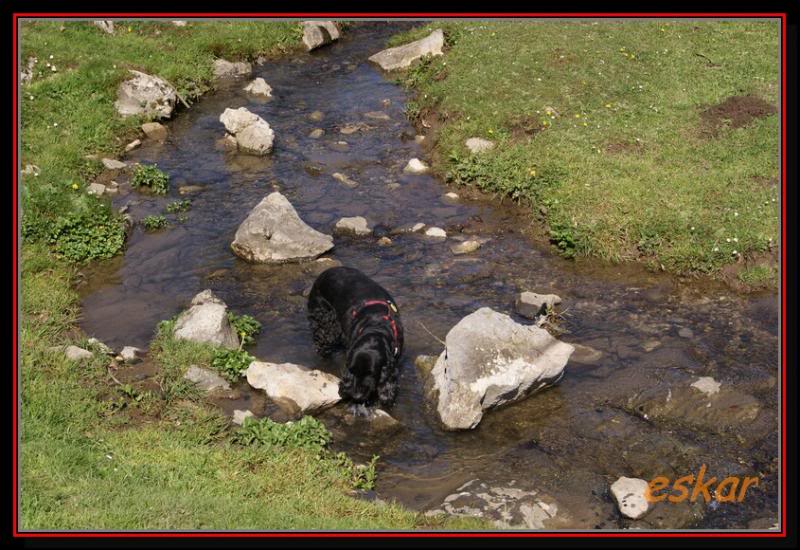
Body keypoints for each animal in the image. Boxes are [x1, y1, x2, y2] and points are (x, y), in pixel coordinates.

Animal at [308, 268, 406, 410]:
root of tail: (324, 273)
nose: (356, 395)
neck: (376, 326)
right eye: (352, 371)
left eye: (371, 373)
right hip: (325, 323)